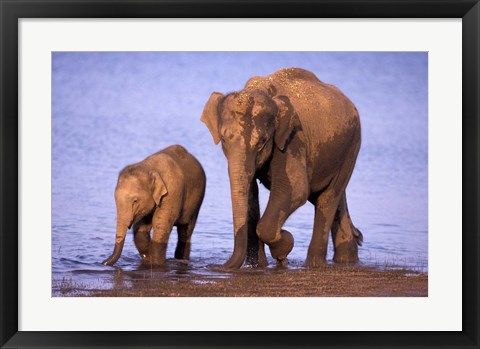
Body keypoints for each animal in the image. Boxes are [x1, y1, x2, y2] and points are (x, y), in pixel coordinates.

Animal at [201, 68, 362, 270]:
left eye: (262, 141)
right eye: (223, 139)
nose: (217, 267)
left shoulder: (293, 139)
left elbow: (296, 190)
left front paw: (284, 246)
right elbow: (251, 194)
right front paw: (258, 265)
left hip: (352, 146)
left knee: (328, 197)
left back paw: (313, 264)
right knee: (333, 197)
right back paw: (347, 259)